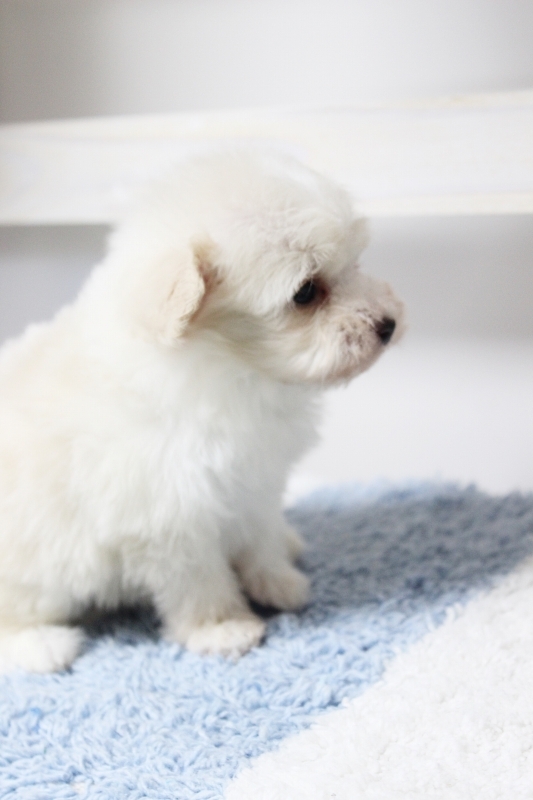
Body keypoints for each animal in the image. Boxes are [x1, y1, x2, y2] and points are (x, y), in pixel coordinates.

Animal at [0, 150, 403, 672]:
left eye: (356, 263)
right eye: (306, 293)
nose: (388, 324)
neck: (231, 368)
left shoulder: (254, 479)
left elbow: (260, 534)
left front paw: (277, 581)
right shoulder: (170, 514)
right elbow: (199, 580)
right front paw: (223, 628)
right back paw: (41, 645)